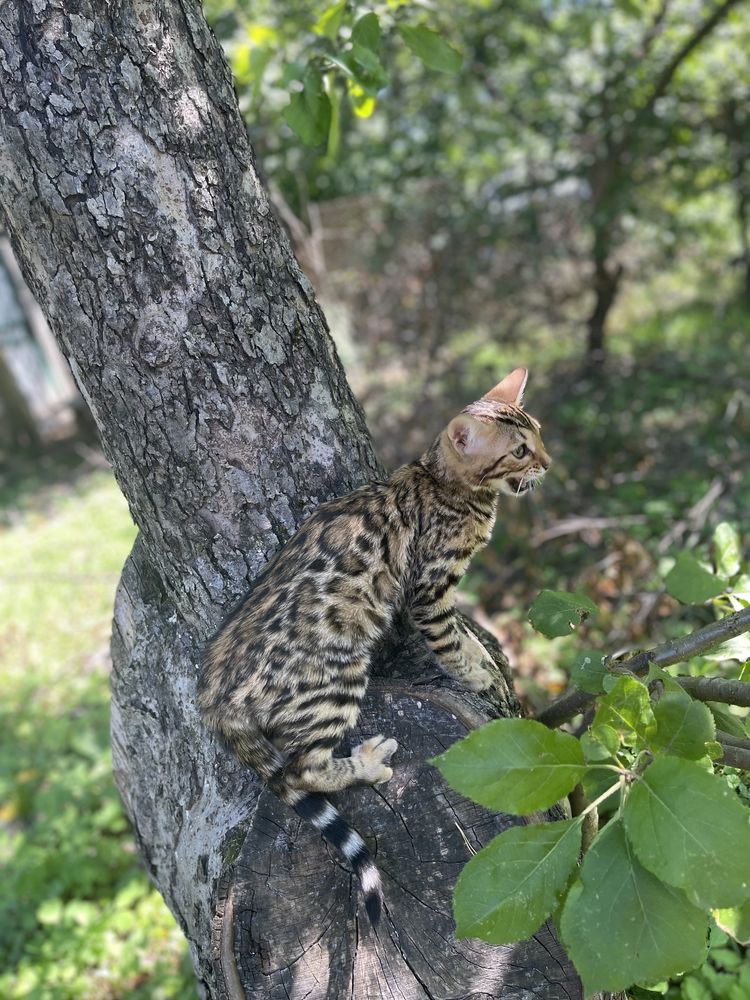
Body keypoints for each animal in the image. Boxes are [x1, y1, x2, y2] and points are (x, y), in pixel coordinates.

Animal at [200, 366, 552, 920]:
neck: (441, 482)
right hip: (336, 679)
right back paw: (364, 765)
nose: (547, 461)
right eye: (519, 451)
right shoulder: (428, 590)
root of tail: (211, 697)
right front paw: (474, 674)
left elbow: (462, 635)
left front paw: (482, 662)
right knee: (302, 771)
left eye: (536, 433)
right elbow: (448, 641)